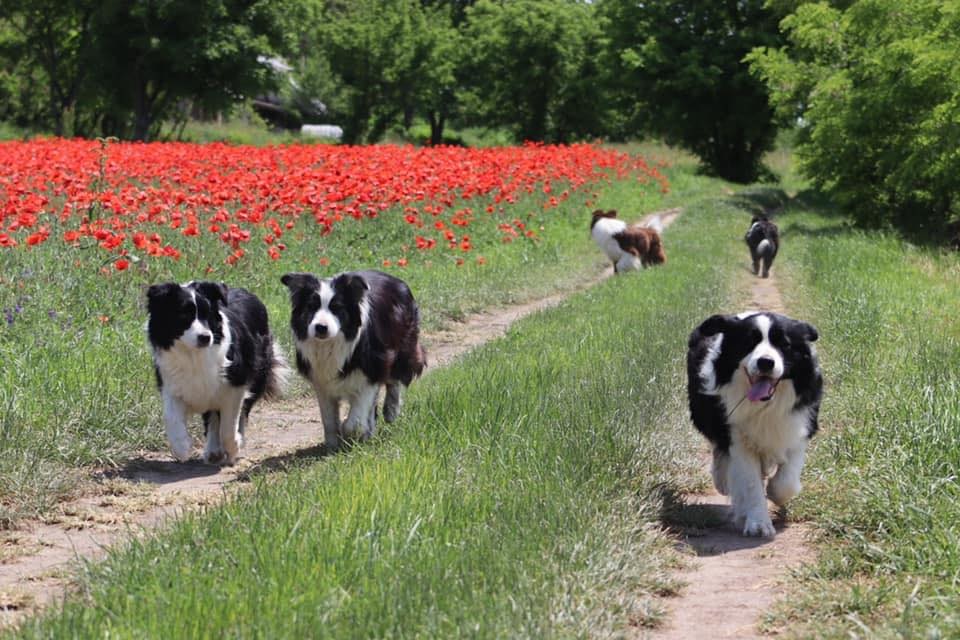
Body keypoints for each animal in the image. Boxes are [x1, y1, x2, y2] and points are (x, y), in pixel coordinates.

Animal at [688, 312, 820, 536]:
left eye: (784, 344)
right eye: (748, 342)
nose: (766, 362)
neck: (765, 405)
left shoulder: (799, 426)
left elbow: (787, 481)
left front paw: (774, 493)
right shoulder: (736, 436)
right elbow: (750, 482)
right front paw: (758, 523)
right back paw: (723, 482)